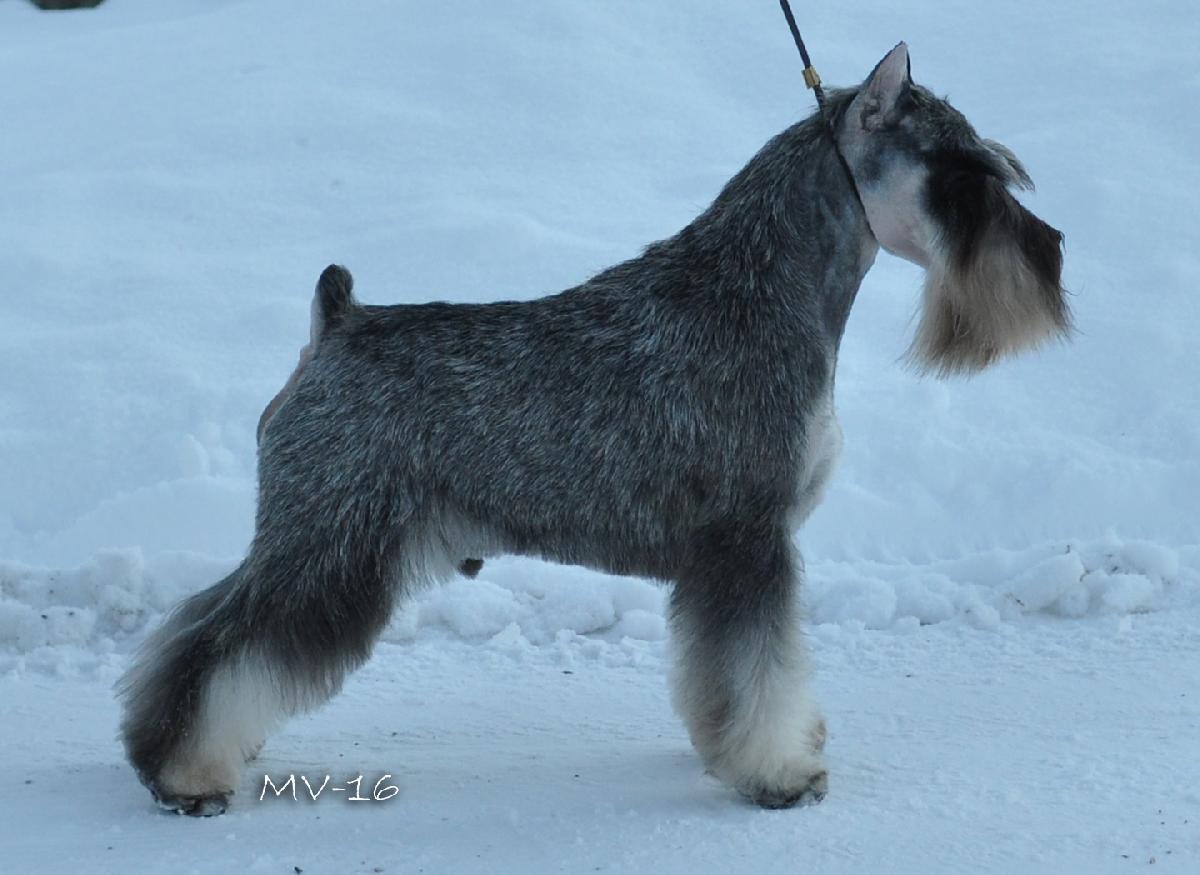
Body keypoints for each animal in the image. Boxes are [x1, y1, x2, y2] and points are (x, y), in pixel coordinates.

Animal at [118, 43, 1069, 815]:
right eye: (963, 173)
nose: (1052, 252)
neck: (763, 285)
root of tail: (336, 325)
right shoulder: (748, 541)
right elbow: (759, 670)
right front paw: (778, 773)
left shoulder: (727, 558)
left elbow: (722, 674)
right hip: (330, 547)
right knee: (222, 644)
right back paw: (183, 774)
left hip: (317, 540)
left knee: (201, 629)